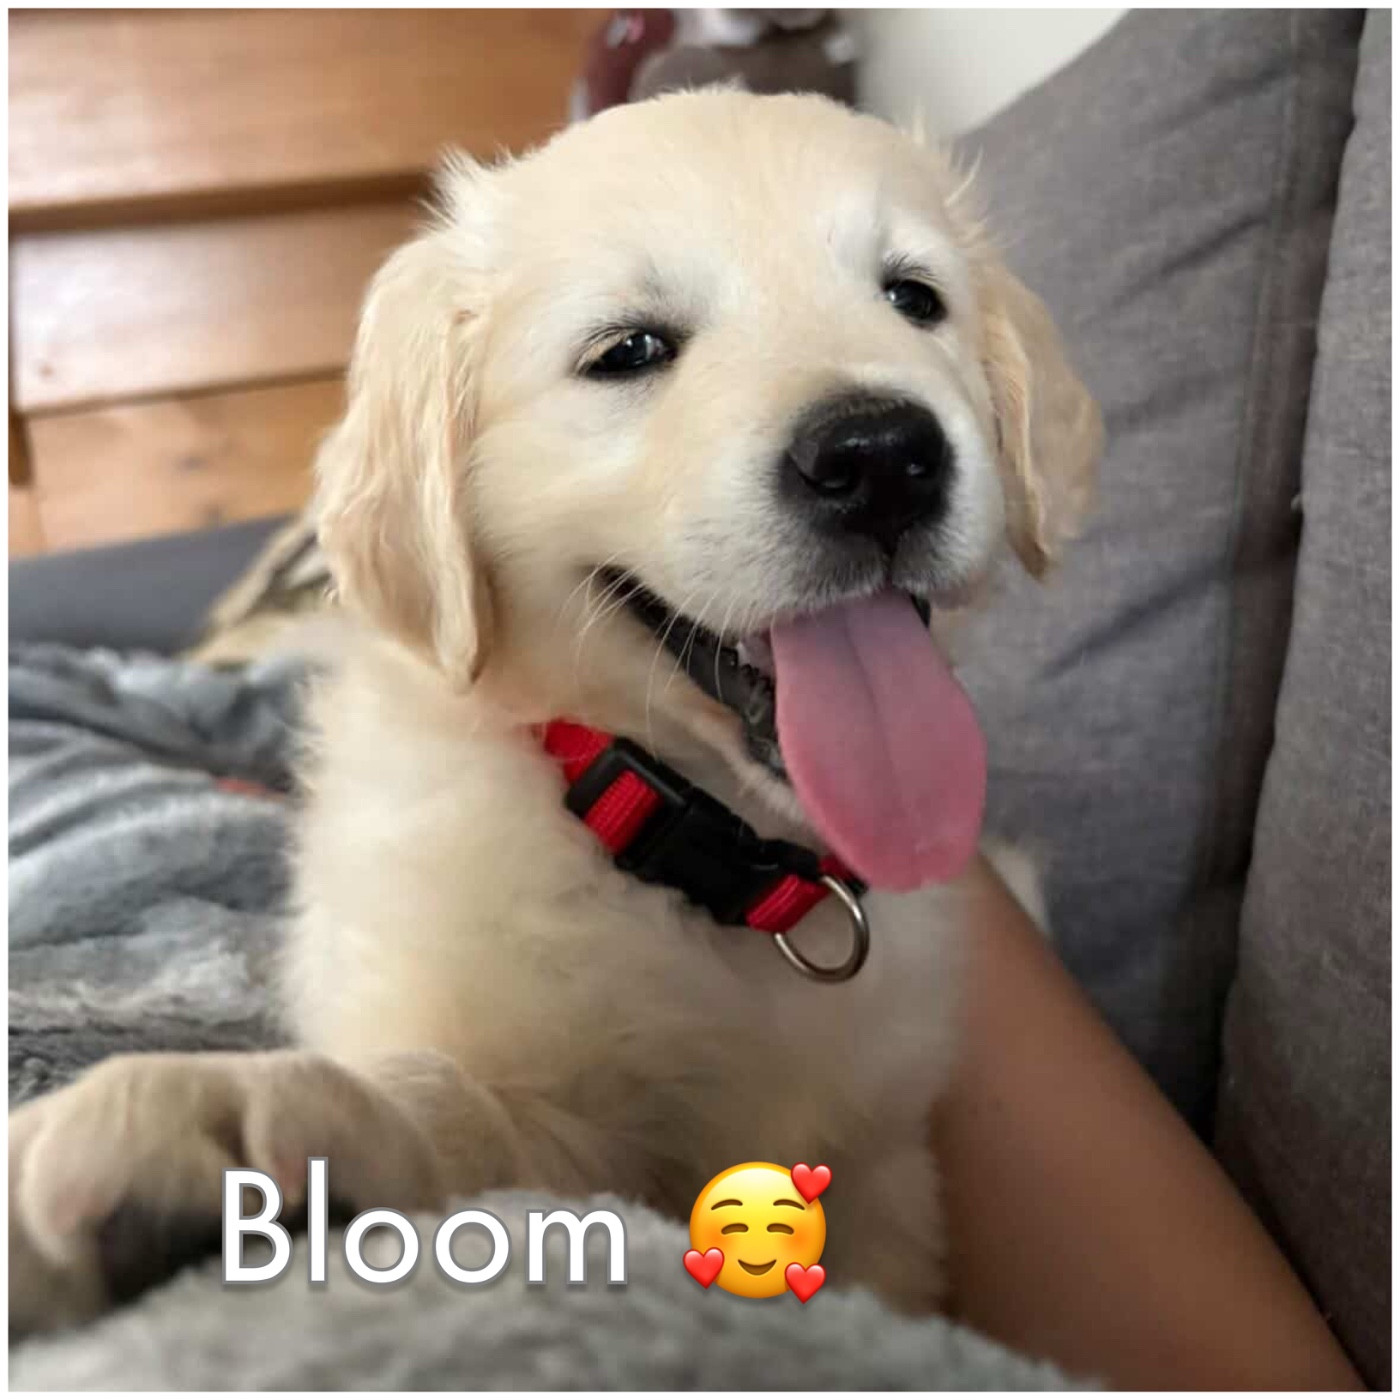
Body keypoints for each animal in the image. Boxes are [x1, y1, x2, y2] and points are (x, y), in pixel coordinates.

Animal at [10, 89, 1099, 1333]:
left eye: (913, 298)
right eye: (627, 351)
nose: (880, 455)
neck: (707, 858)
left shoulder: (884, 1167)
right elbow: (457, 1118)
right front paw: (237, 1141)